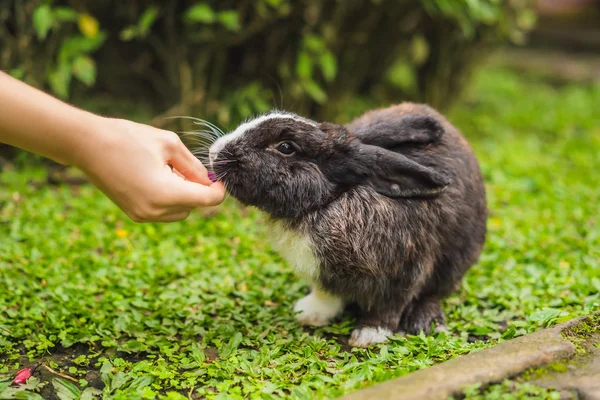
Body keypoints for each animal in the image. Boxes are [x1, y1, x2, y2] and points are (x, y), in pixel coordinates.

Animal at [206, 103, 488, 346]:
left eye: (286, 147)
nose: (214, 152)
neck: (325, 203)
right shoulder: (323, 276)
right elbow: (326, 295)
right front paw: (309, 314)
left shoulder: (406, 271)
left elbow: (389, 305)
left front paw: (369, 335)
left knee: (435, 292)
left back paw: (427, 322)